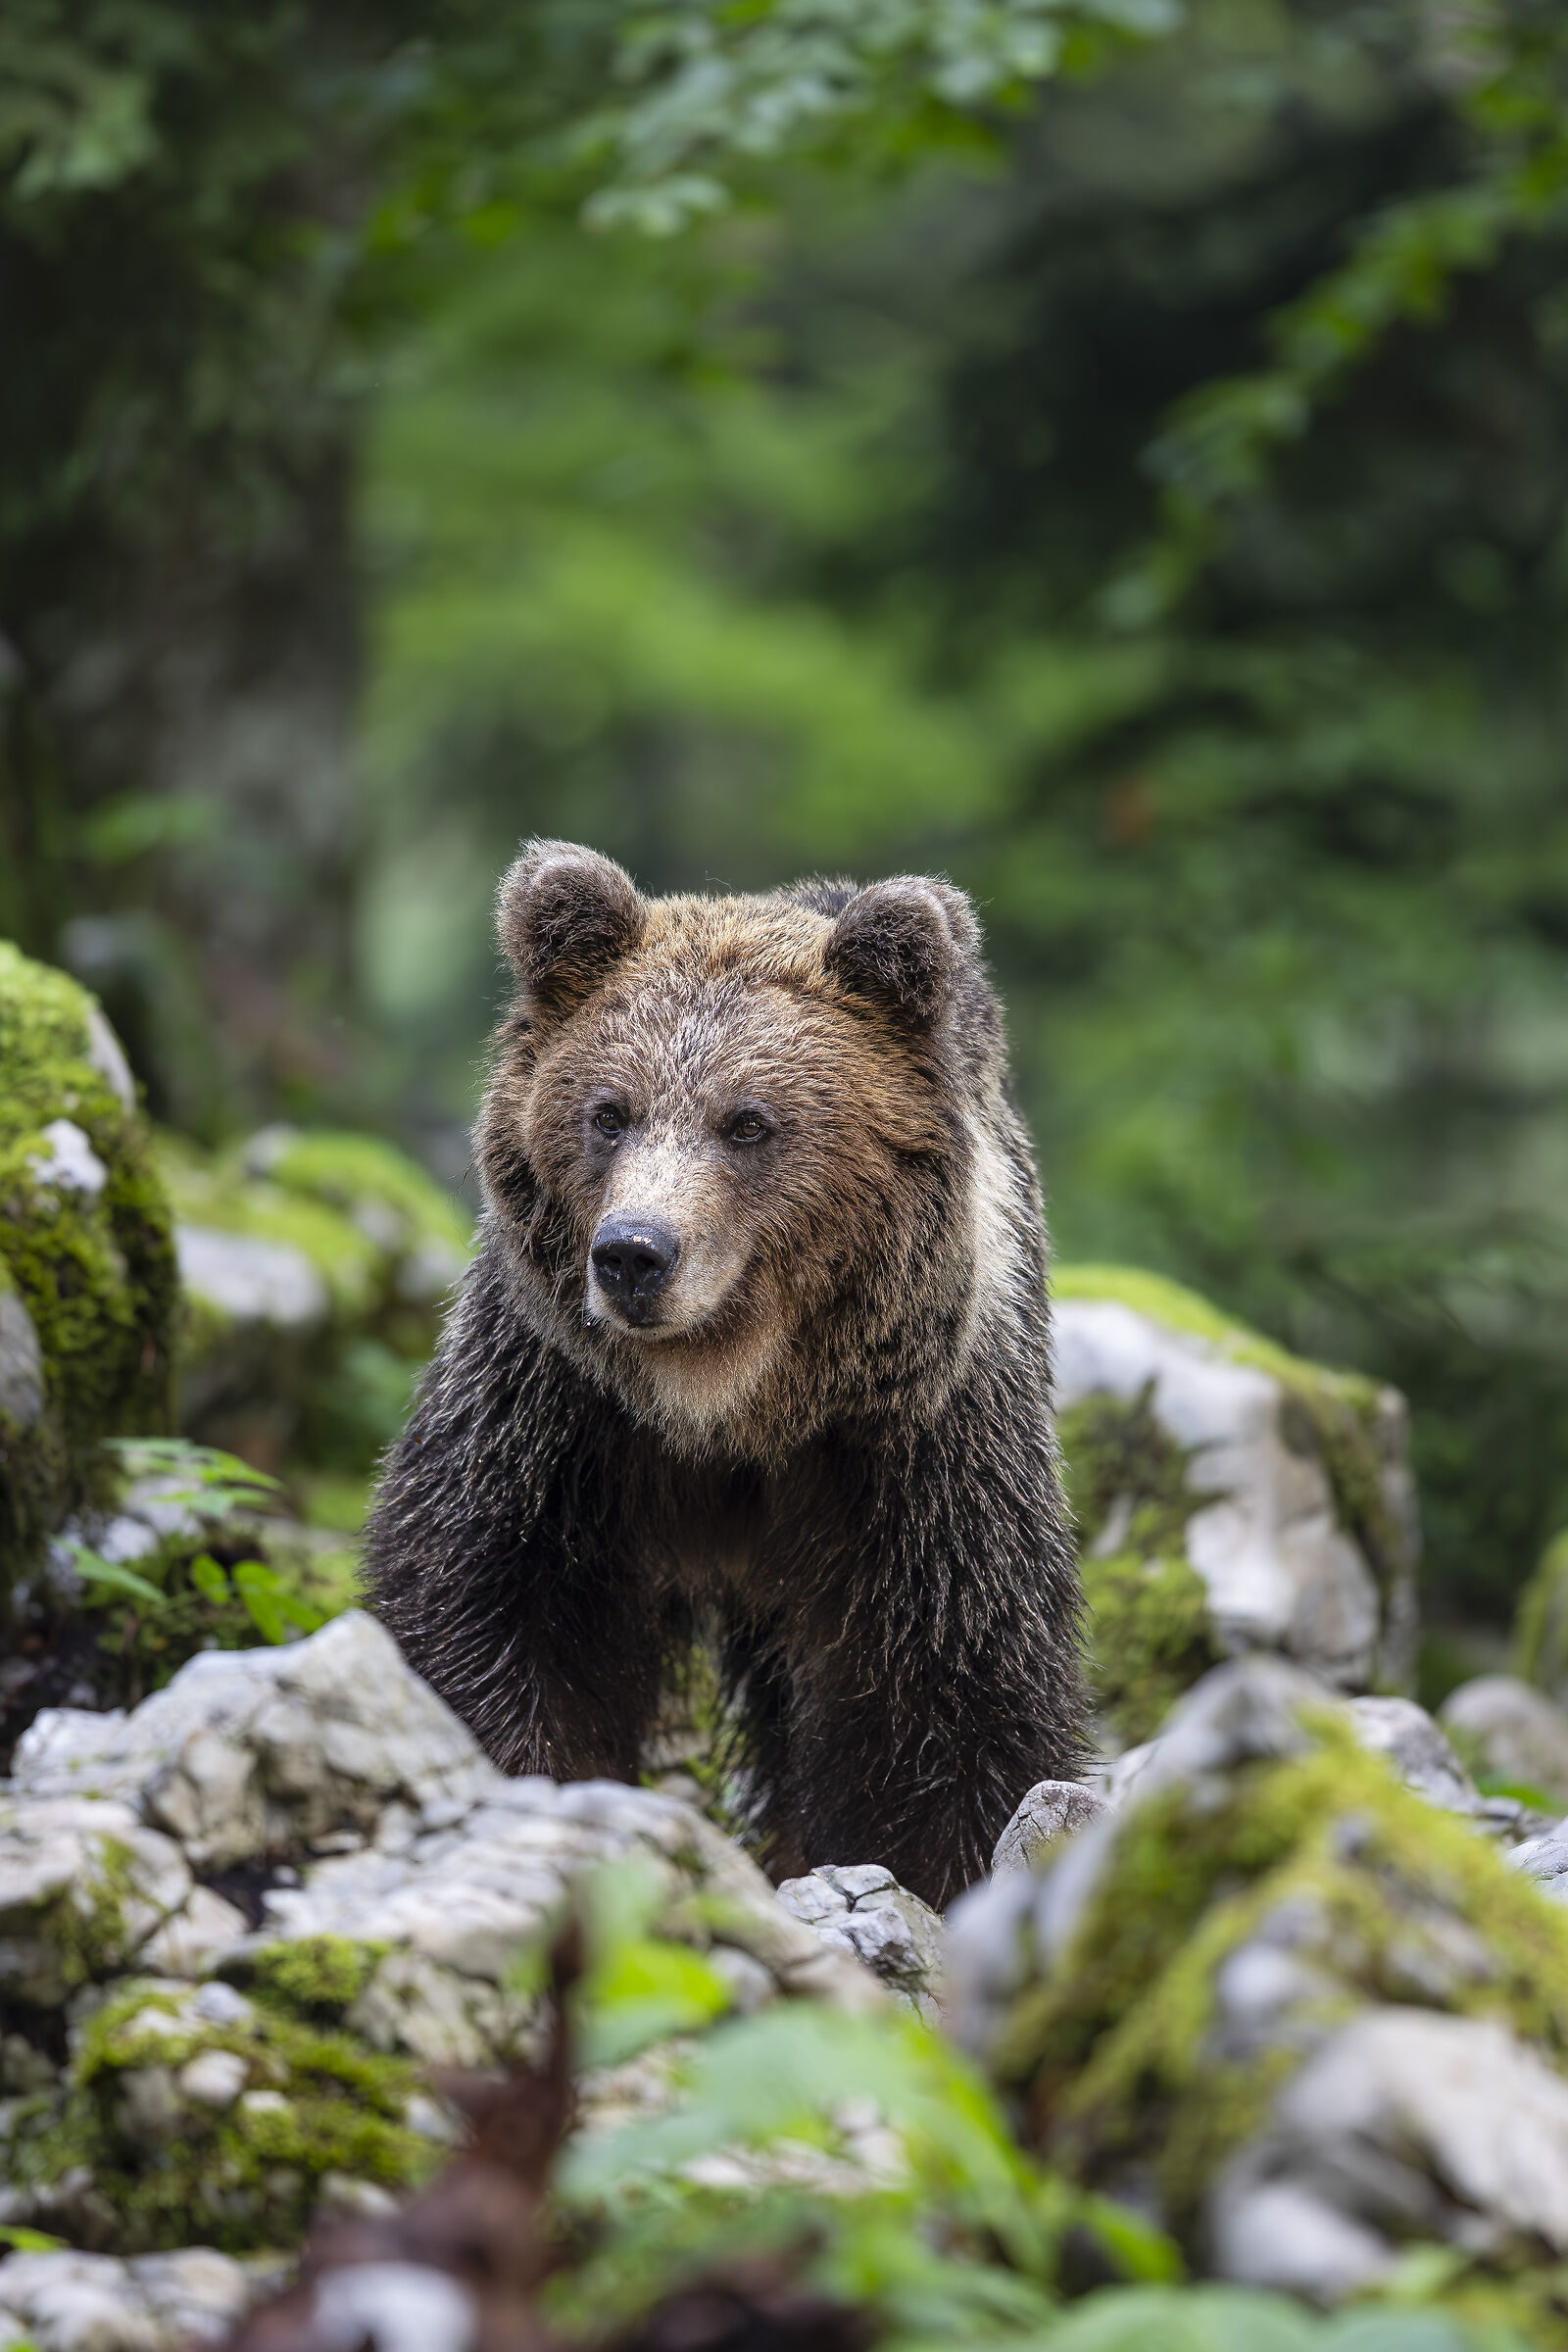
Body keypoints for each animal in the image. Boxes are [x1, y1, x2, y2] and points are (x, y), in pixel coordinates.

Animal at [364, 841, 1086, 1907]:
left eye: (748, 1122)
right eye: (608, 1113)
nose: (634, 1253)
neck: (730, 1405)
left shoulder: (914, 1449)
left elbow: (942, 1691)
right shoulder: (555, 1410)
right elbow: (490, 1597)